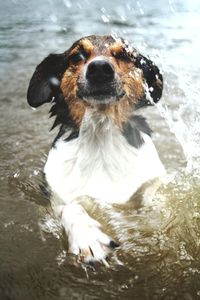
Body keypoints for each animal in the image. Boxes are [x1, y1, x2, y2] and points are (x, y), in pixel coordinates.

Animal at [27, 34, 166, 264]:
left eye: (124, 55)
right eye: (77, 56)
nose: (100, 68)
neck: (100, 136)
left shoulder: (152, 185)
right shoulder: (54, 193)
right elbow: (70, 206)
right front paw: (88, 237)